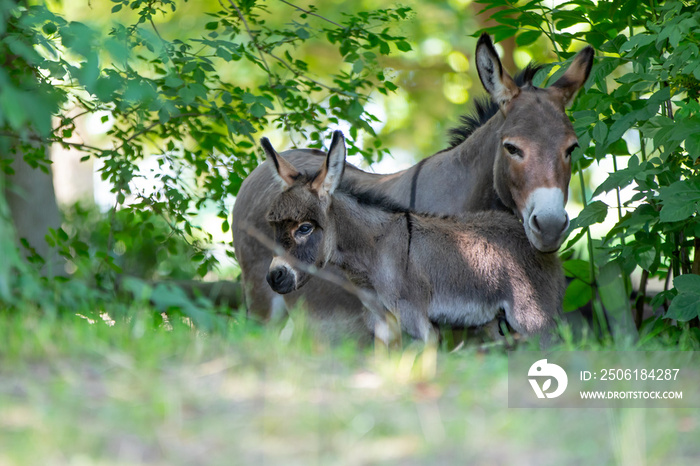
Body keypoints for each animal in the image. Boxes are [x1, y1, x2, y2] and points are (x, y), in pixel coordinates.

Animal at [262, 131, 564, 346]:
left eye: (304, 228)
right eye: (273, 226)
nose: (274, 277)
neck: (375, 249)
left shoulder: (416, 320)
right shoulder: (382, 324)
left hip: (533, 317)